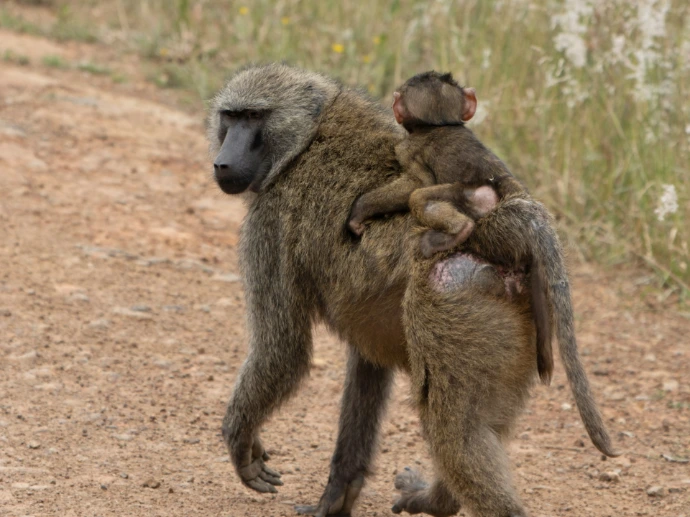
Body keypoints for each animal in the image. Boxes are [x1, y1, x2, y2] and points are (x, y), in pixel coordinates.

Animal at [207, 63, 617, 517]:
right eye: (230, 117)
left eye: (254, 117)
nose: (223, 163)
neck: (306, 137)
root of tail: (499, 226)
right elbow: (367, 365)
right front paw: (336, 497)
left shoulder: (269, 222)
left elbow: (282, 350)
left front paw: (241, 438)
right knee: (477, 429)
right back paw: (436, 501)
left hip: (450, 297)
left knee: (458, 435)